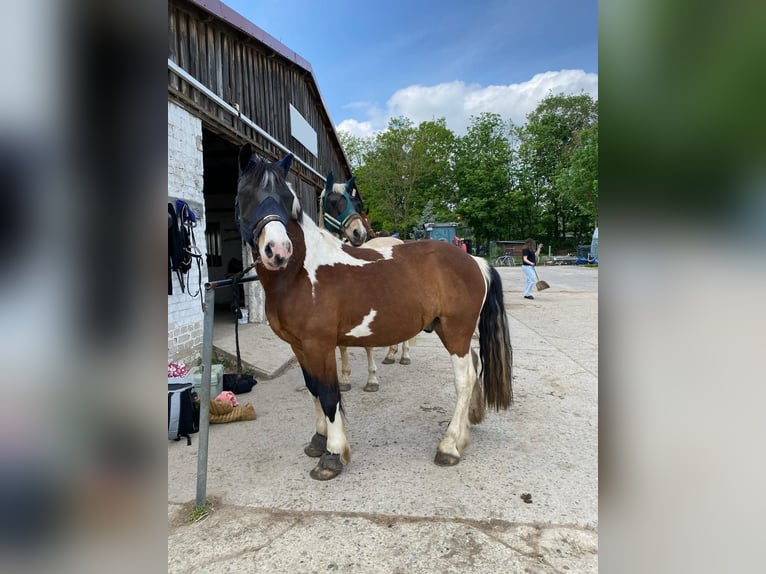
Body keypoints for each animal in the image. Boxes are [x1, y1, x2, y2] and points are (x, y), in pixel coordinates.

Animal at [320, 173, 414, 394]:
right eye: (333, 202)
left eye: (357, 204)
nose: (358, 234)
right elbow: (342, 346)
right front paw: (345, 379)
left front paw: (372, 380)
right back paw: (390, 354)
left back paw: (404, 356)